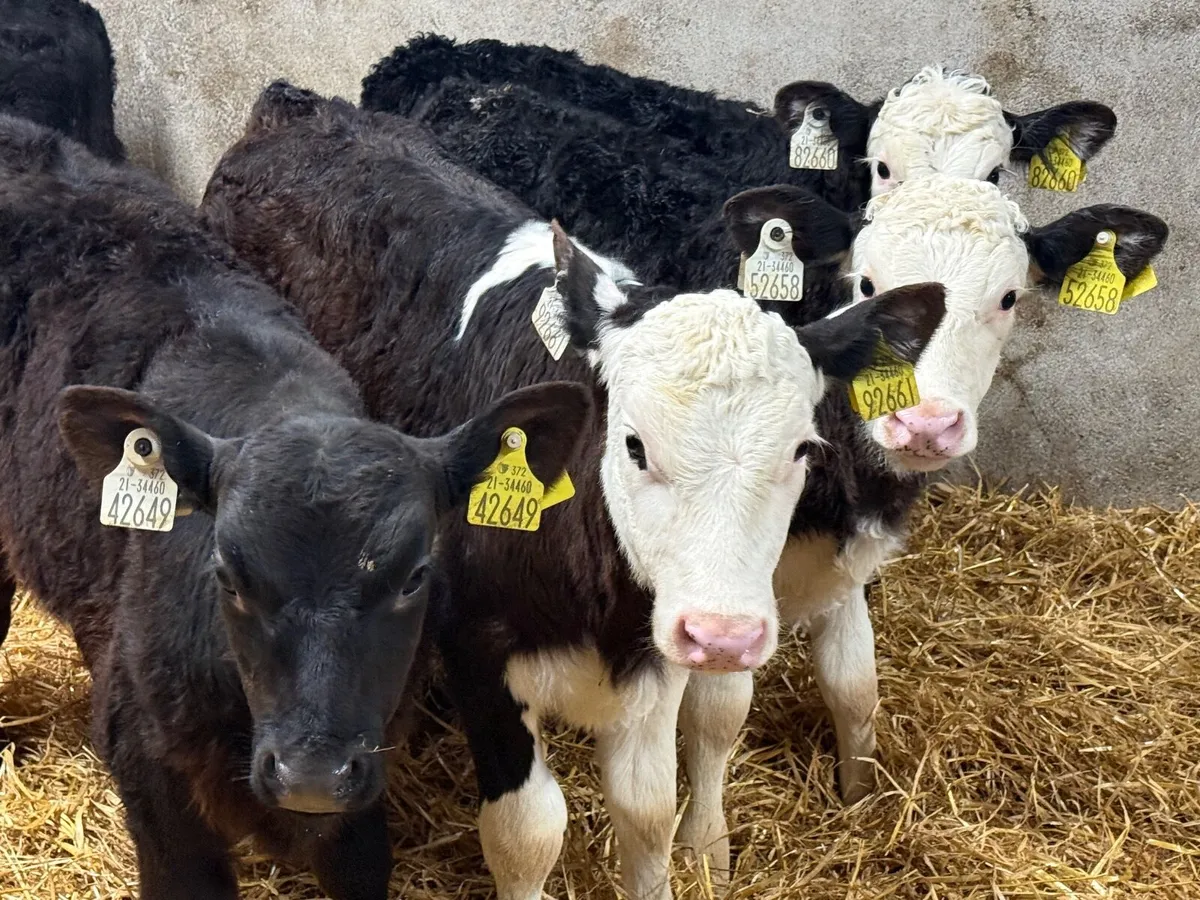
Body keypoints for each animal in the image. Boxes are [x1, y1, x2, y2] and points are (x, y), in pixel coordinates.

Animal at [199, 82, 948, 900]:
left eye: (802, 451)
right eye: (634, 443)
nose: (723, 638)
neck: (600, 602)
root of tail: (296, 107)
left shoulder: (657, 658)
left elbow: (648, 812)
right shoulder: (478, 649)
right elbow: (529, 831)